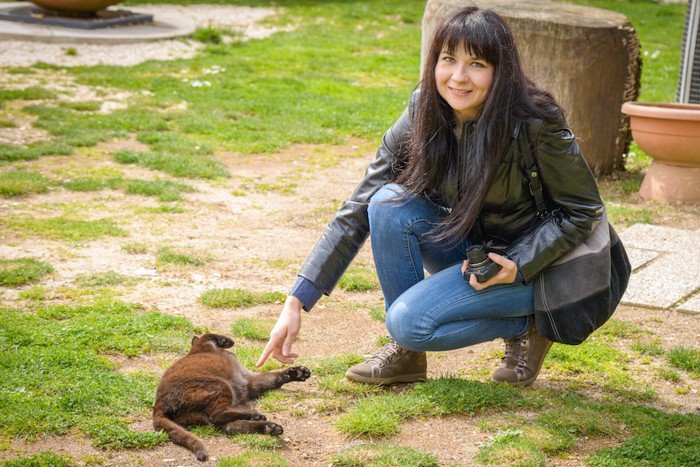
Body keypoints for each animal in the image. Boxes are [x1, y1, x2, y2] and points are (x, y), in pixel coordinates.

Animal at [154, 334, 310, 462]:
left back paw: (269, 427)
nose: (228, 343)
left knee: (228, 424)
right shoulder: (205, 344)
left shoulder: (250, 381)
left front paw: (298, 373)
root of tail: (158, 406)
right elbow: (206, 334)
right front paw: (227, 340)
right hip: (220, 385)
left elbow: (274, 377)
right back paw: (258, 417)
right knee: (219, 416)